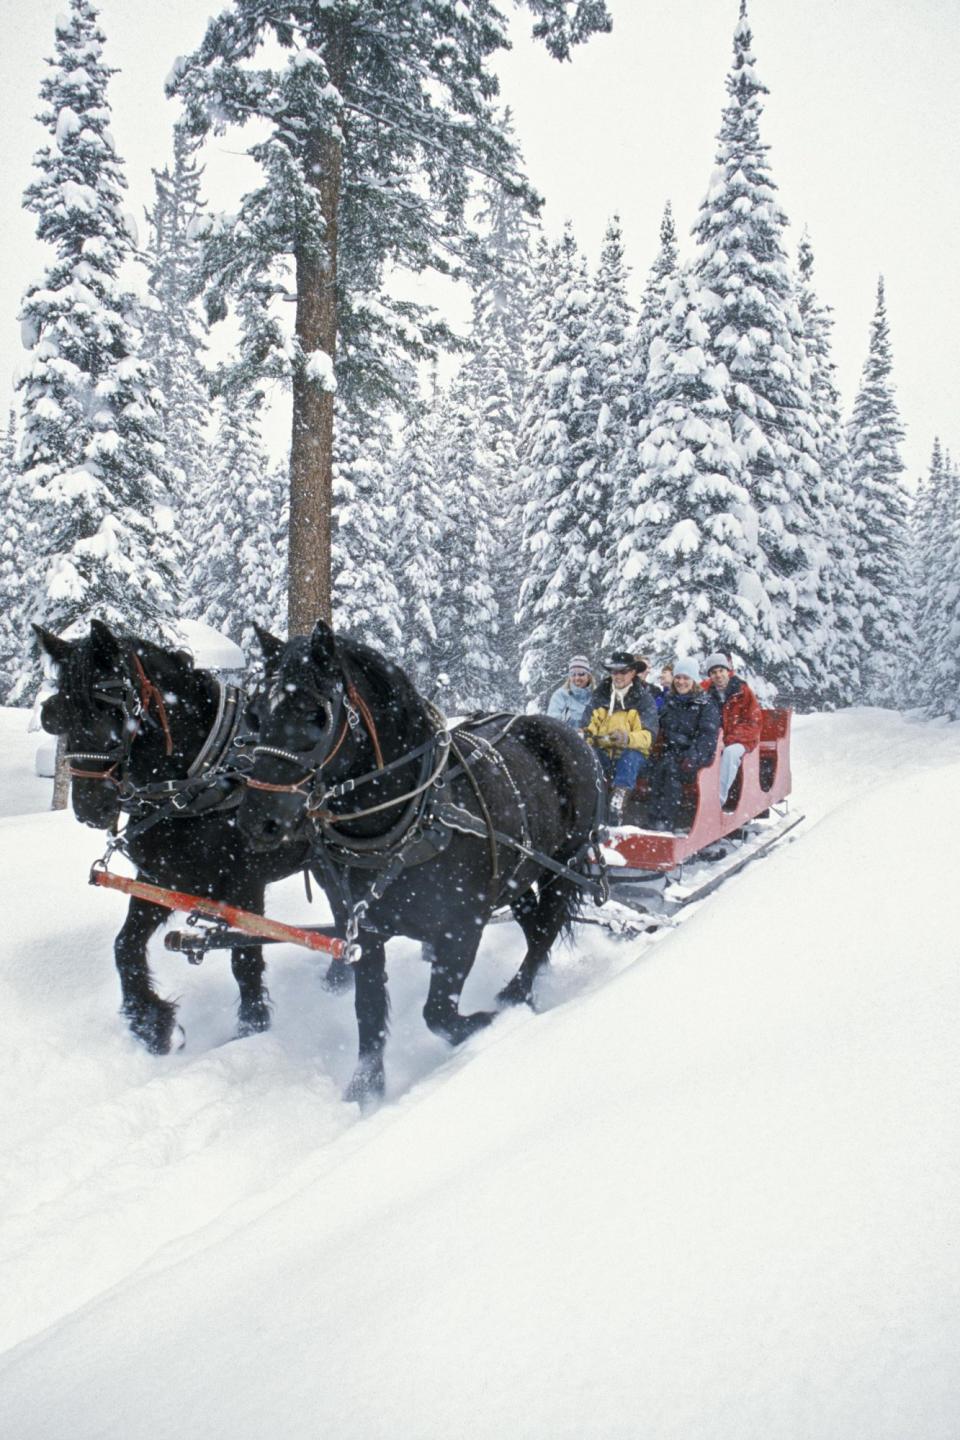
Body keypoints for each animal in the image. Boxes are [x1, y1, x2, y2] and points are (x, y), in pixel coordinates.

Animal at [36, 622, 315, 1059]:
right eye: (56, 716)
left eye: (112, 711)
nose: (88, 808)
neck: (205, 778)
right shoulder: (160, 880)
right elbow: (125, 946)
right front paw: (152, 1024)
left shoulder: (245, 887)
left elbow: (245, 960)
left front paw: (251, 1034)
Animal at [237, 619, 604, 1100]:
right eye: (256, 714)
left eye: (316, 714)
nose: (256, 821)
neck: (413, 817)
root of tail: (567, 734)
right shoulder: (365, 932)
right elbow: (368, 1012)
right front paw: (366, 1090)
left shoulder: (462, 927)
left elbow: (439, 1013)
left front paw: (486, 1023)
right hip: (516, 876)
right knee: (535, 925)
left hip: (564, 864)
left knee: (545, 931)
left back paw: (514, 998)